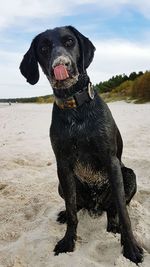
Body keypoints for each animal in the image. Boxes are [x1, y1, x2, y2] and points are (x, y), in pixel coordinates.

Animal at [19, 26, 143, 264]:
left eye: (69, 42)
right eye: (43, 48)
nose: (61, 65)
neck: (74, 107)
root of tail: (95, 206)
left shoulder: (111, 161)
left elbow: (124, 213)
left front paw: (130, 247)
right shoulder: (63, 165)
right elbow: (72, 211)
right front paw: (68, 241)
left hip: (128, 174)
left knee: (114, 208)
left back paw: (112, 224)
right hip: (62, 184)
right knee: (76, 206)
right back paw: (65, 214)